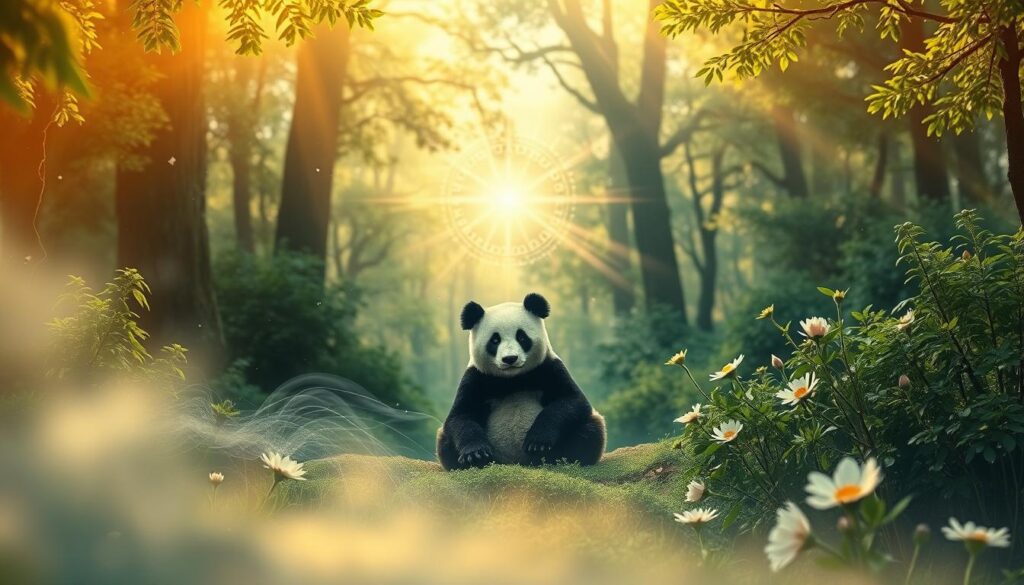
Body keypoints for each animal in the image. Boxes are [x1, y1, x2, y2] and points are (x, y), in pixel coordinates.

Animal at [436, 292, 606, 470]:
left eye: (521, 337)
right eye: (495, 340)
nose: (510, 358)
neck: (513, 379)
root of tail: (518, 462)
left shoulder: (549, 368)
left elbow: (572, 401)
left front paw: (537, 442)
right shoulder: (476, 378)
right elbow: (461, 416)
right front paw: (476, 454)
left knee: (590, 430)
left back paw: (565, 459)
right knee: (445, 441)